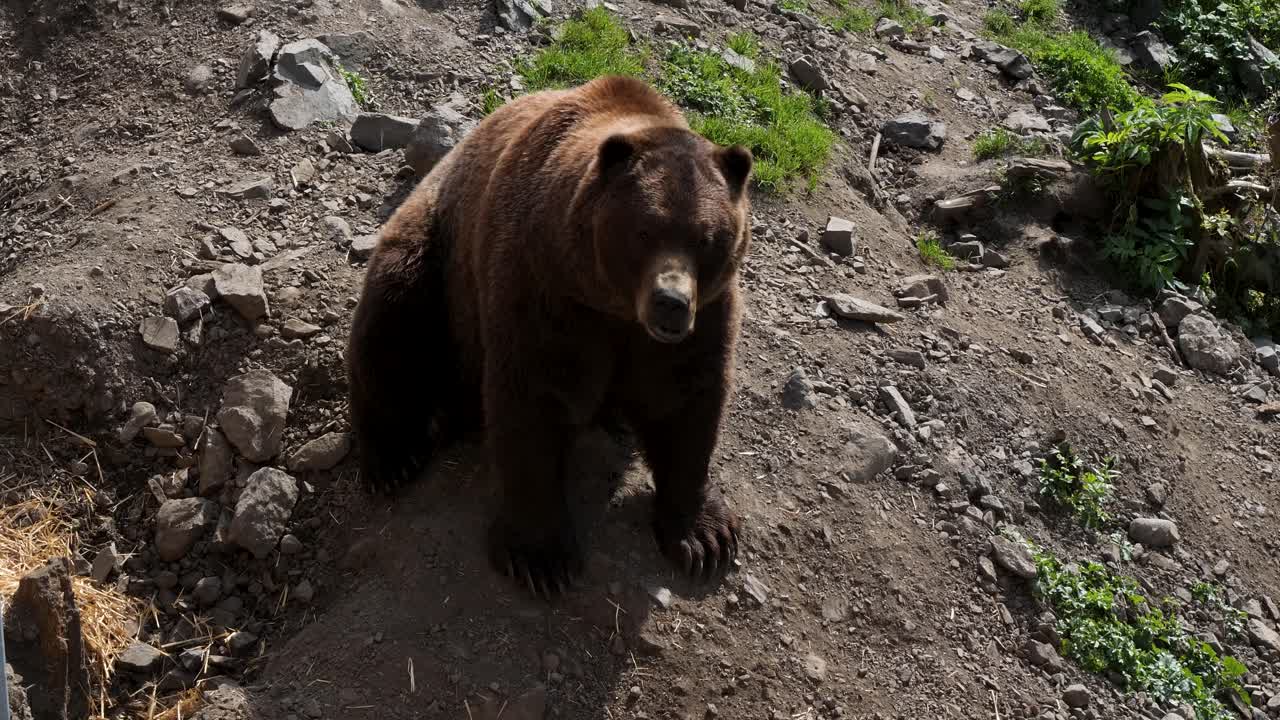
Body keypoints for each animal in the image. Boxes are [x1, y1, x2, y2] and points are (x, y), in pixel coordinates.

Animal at [346, 74, 754, 596]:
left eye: (707, 238)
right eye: (644, 231)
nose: (671, 302)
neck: (614, 307)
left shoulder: (703, 315)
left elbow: (686, 402)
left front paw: (705, 538)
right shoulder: (546, 288)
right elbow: (533, 401)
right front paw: (540, 558)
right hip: (435, 257)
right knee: (391, 324)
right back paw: (391, 458)